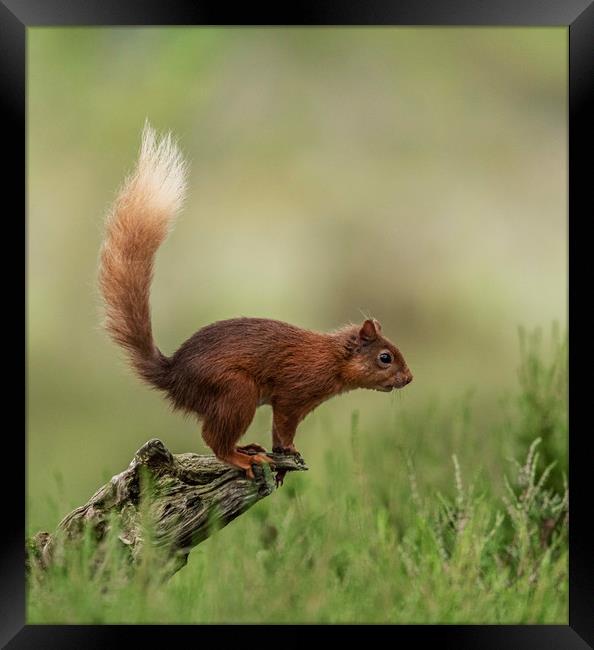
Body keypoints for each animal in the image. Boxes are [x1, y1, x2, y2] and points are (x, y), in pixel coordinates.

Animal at [98, 125, 412, 480]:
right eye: (385, 358)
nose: (409, 378)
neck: (330, 359)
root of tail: (174, 377)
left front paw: (287, 451)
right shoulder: (293, 393)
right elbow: (283, 425)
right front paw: (287, 448)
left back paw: (247, 448)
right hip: (236, 392)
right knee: (213, 438)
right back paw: (242, 458)